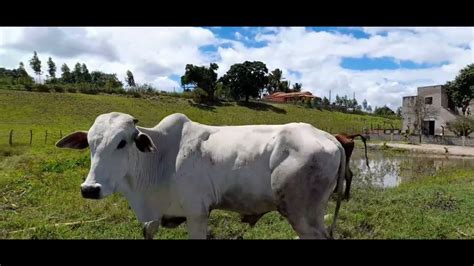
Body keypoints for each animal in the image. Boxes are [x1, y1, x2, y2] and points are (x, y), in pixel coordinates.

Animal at [56, 112, 344, 239]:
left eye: (122, 142)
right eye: (90, 144)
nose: (90, 189)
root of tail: (329, 137)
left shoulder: (197, 214)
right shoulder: (153, 220)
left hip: (302, 216)